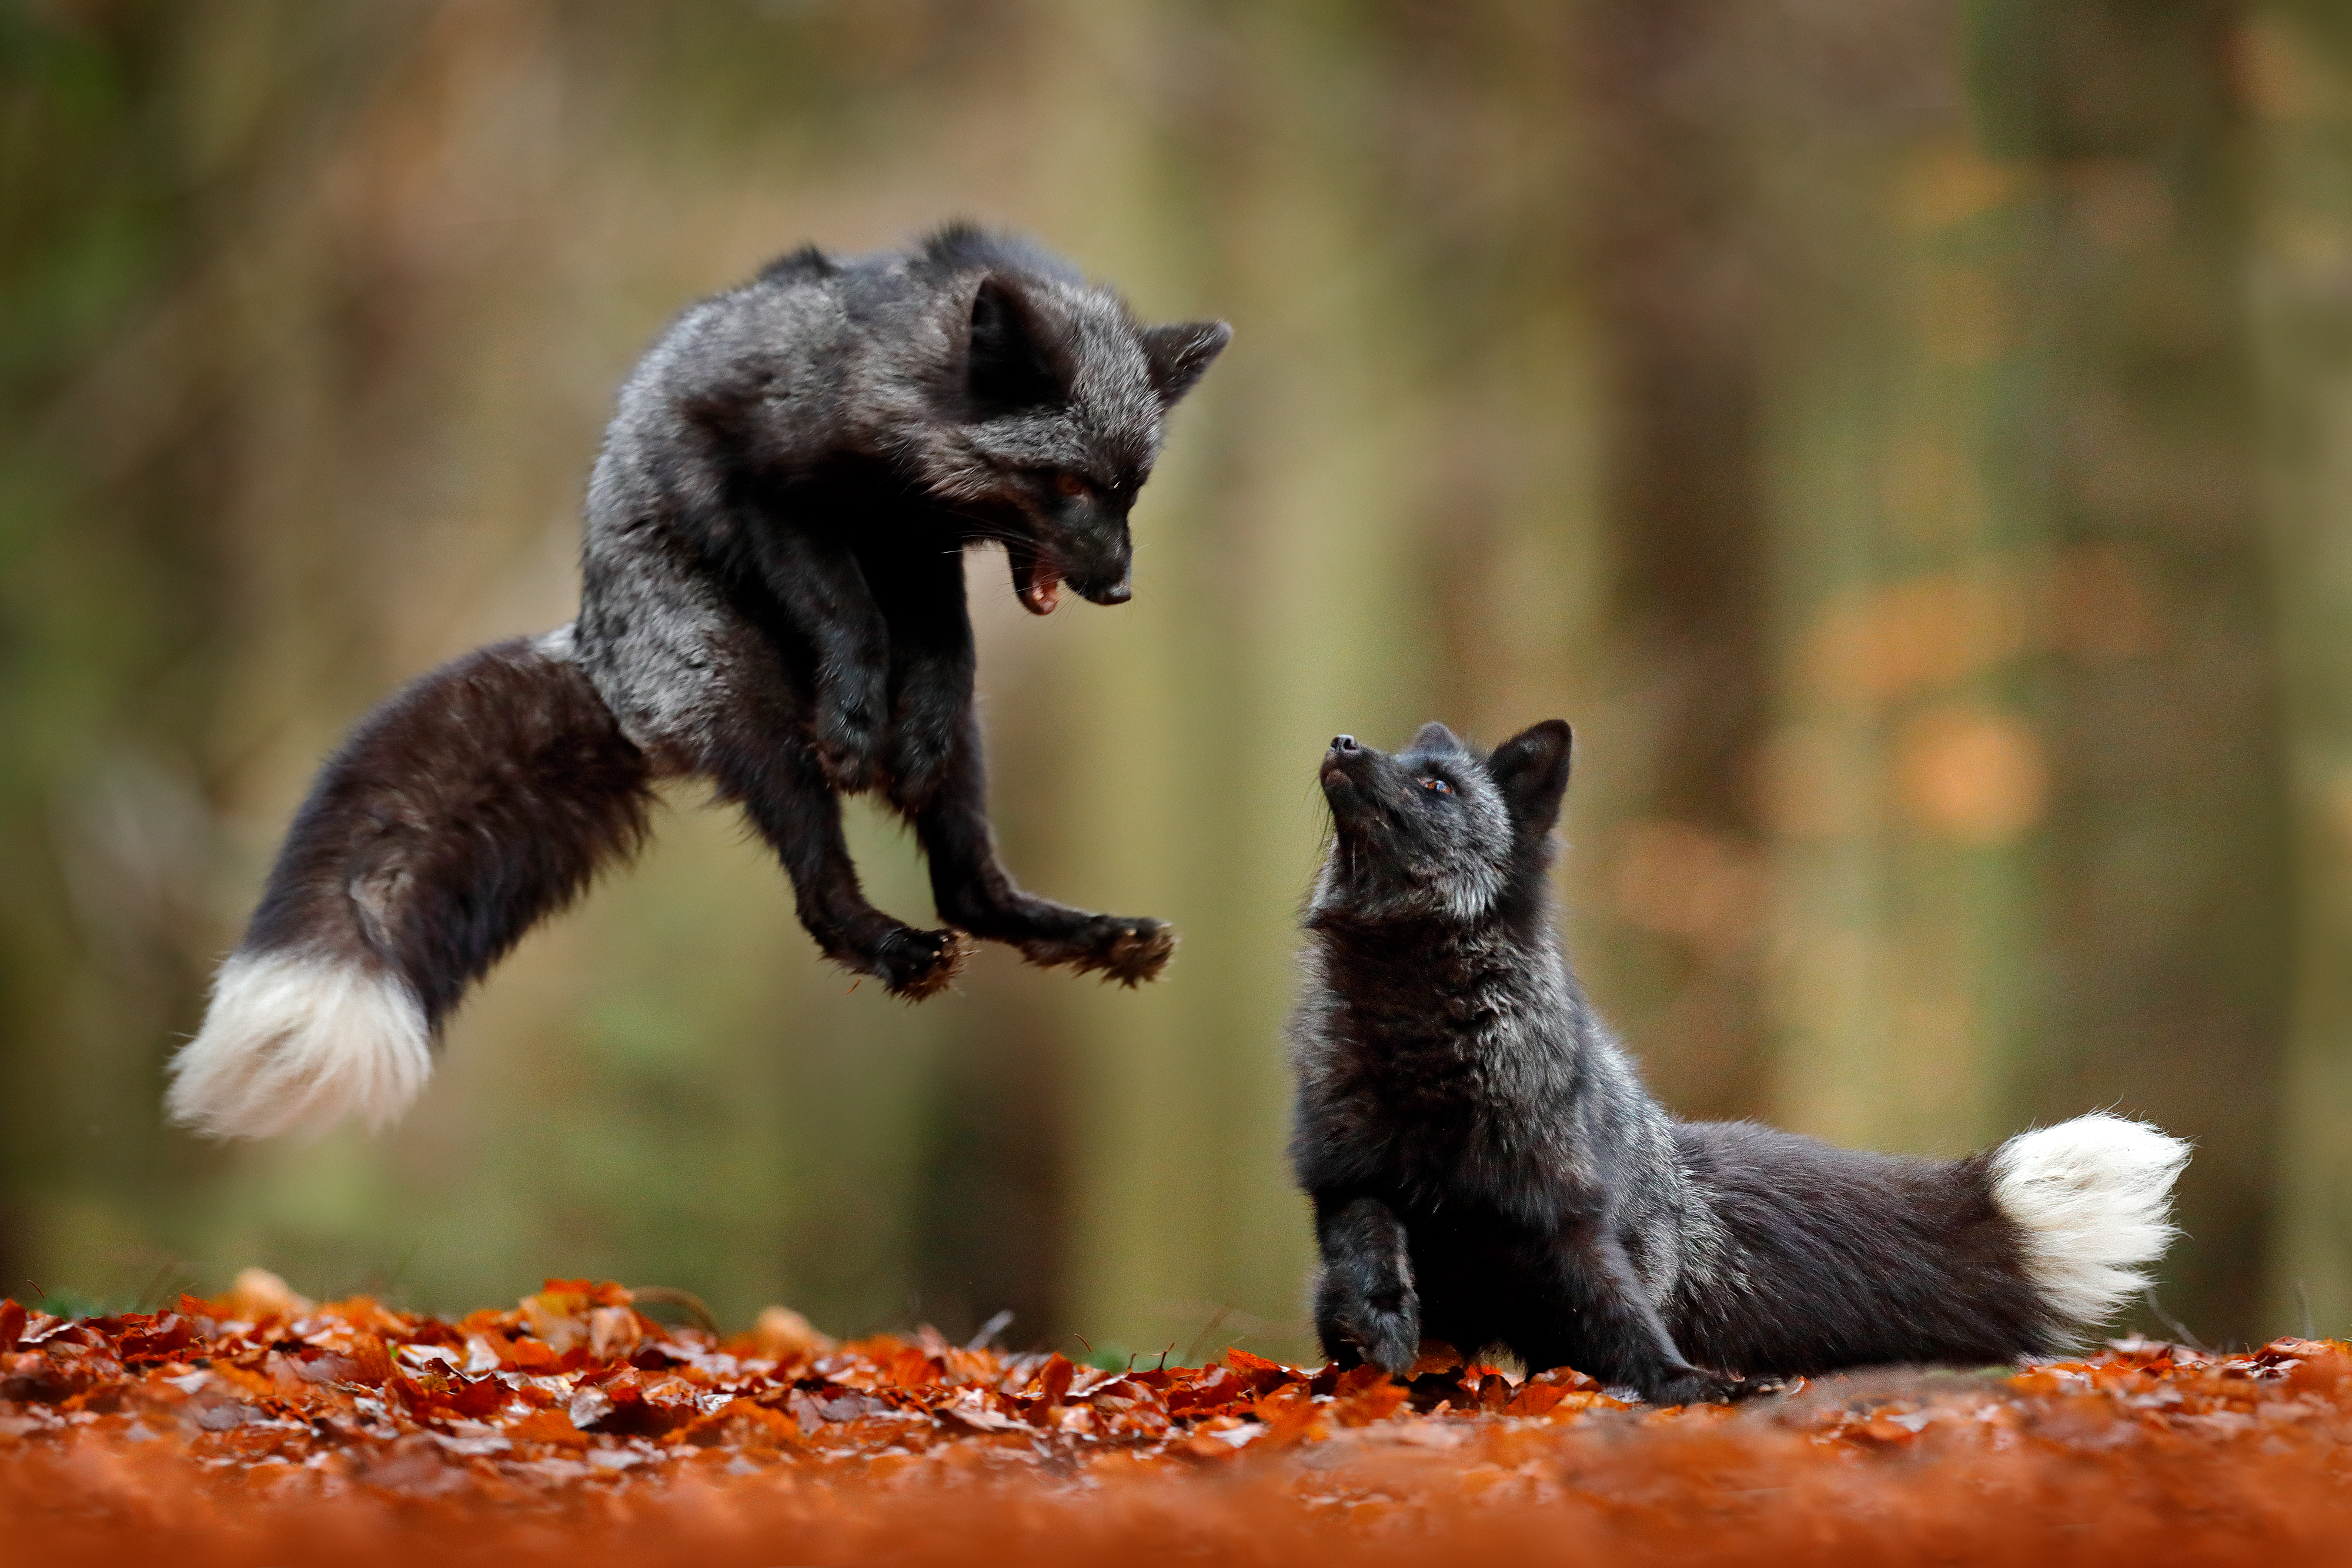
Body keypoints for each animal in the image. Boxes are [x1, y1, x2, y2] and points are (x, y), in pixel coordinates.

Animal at [166, 223, 1232, 1142]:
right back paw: (887, 940)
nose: (1119, 587)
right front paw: (855, 715)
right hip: (752, 713)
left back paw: (1092, 934)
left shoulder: (917, 559)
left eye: (1131, 489)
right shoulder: (771, 490)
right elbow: (847, 614)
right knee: (821, 897)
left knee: (970, 886)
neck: (882, 380)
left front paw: (904, 719)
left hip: (966, 749)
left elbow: (945, 649)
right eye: (1069, 485)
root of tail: (595, 648)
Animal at [1289, 719, 2183, 1401]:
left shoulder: (1565, 1218)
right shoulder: (1346, 1175)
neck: (1418, 1030)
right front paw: (1382, 1323)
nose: (1340, 740)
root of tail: (1677, 1161)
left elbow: (1628, 1328)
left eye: (1437, 785)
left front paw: (1686, 1387)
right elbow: (1370, 1243)